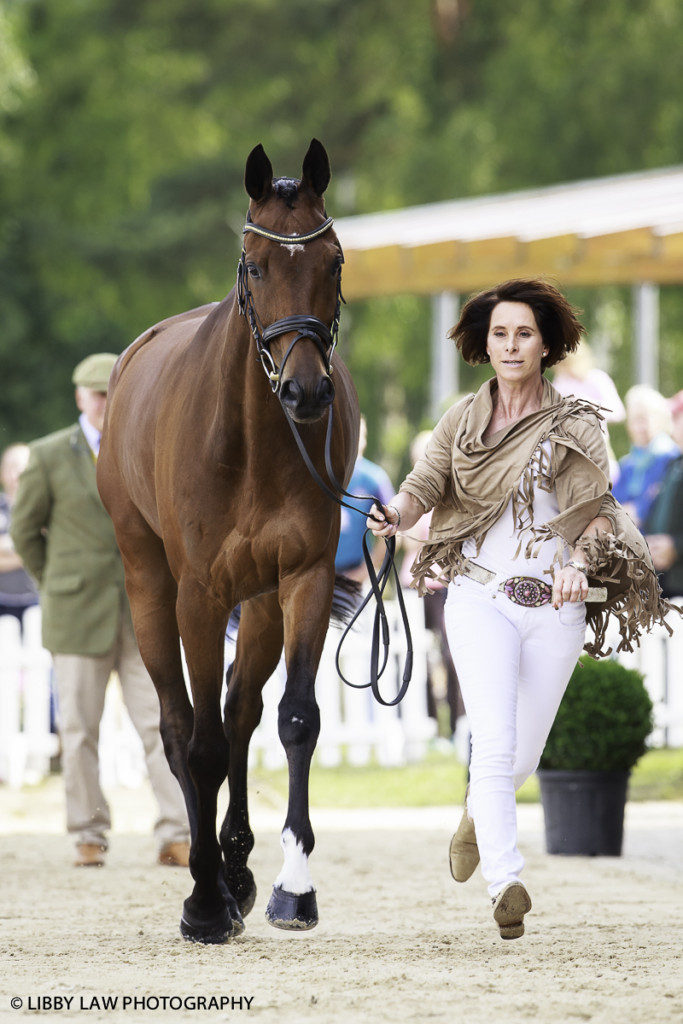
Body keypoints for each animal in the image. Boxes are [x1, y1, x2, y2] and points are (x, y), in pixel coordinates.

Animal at [99, 140, 362, 937]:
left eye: (333, 260)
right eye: (255, 265)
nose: (306, 392)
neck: (251, 441)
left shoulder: (303, 578)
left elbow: (295, 719)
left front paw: (290, 889)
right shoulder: (200, 595)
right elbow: (201, 742)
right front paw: (205, 901)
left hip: (263, 602)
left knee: (242, 709)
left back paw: (239, 867)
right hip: (151, 589)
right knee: (181, 725)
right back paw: (211, 878)